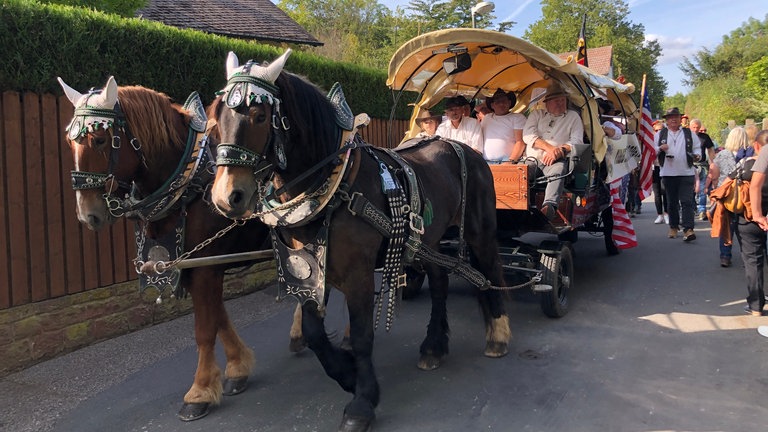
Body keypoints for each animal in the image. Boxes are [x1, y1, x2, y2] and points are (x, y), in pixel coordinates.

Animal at [57, 76, 280, 420]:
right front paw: (237, 368)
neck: (187, 186)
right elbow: (218, 318)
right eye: (71, 142)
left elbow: (205, 328)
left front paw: (199, 392)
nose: (87, 215)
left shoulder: (205, 266)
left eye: (99, 140)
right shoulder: (193, 265)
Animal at [207, 49, 512, 432]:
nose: (226, 197)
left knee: (491, 271)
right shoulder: (310, 269)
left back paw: (498, 333)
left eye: (260, 115)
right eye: (215, 118)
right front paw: (346, 373)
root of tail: (462, 148)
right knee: (440, 282)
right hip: (427, 239)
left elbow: (365, 335)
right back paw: (434, 346)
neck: (336, 187)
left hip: (479, 228)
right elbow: (314, 332)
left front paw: (362, 401)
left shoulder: (358, 274)